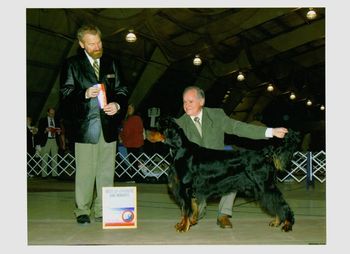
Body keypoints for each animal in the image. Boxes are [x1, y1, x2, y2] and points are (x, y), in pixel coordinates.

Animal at [148, 116, 300, 232]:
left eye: (158, 125)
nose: (146, 131)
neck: (180, 149)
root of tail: (264, 153)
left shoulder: (185, 188)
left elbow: (185, 209)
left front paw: (183, 226)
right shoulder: (190, 190)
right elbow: (190, 207)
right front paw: (186, 223)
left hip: (264, 186)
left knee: (281, 203)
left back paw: (287, 224)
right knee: (276, 203)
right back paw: (277, 221)